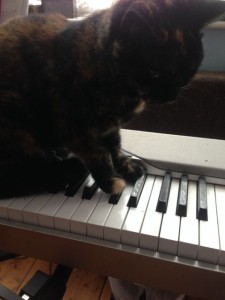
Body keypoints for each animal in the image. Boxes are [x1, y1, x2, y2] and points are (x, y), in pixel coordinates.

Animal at [0, 0, 225, 197]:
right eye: (155, 73)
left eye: (188, 72)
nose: (169, 95)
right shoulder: (73, 127)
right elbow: (97, 154)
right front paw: (110, 182)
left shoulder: (110, 126)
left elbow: (115, 147)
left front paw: (128, 168)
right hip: (14, 116)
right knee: (16, 177)